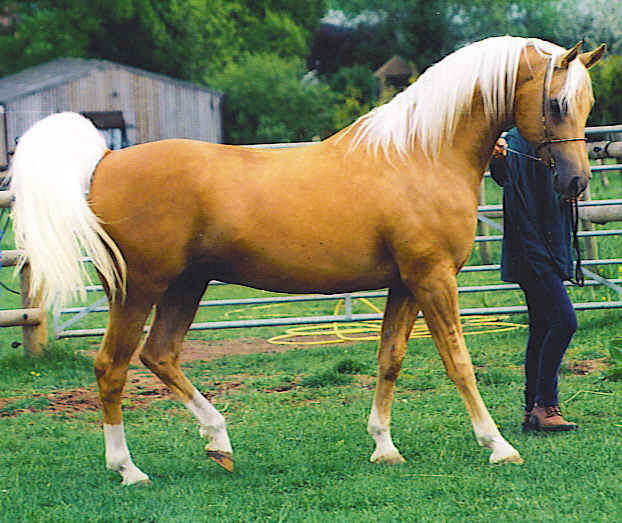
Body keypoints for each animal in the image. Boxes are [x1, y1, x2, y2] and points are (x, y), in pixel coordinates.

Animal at [8, 36, 604, 488]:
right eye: (557, 104)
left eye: (589, 103)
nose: (576, 182)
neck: (421, 152)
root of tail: (106, 159)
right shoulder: (433, 280)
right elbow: (458, 361)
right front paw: (497, 445)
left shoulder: (404, 285)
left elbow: (390, 359)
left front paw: (384, 447)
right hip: (139, 290)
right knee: (111, 367)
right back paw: (128, 469)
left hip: (186, 285)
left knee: (160, 356)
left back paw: (219, 443)